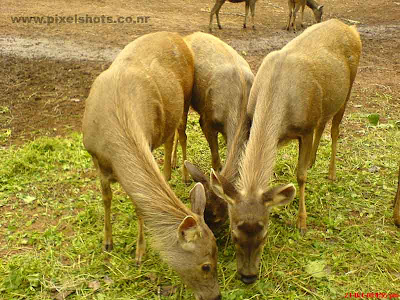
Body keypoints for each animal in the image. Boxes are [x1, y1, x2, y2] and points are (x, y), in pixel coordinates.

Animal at [82, 31, 222, 298]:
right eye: (206, 265)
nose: (216, 295)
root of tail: (178, 36)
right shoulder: (94, 157)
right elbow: (106, 199)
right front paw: (107, 243)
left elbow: (139, 207)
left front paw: (139, 254)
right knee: (172, 137)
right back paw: (174, 165)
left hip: (186, 97)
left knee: (180, 133)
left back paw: (177, 172)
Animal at [209, 19, 362, 284]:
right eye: (234, 232)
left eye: (265, 234)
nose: (248, 277)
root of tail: (349, 26)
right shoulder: (252, 118)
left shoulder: (306, 127)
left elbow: (300, 176)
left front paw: (302, 221)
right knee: (324, 123)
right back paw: (313, 160)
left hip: (348, 89)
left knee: (334, 129)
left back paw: (331, 173)